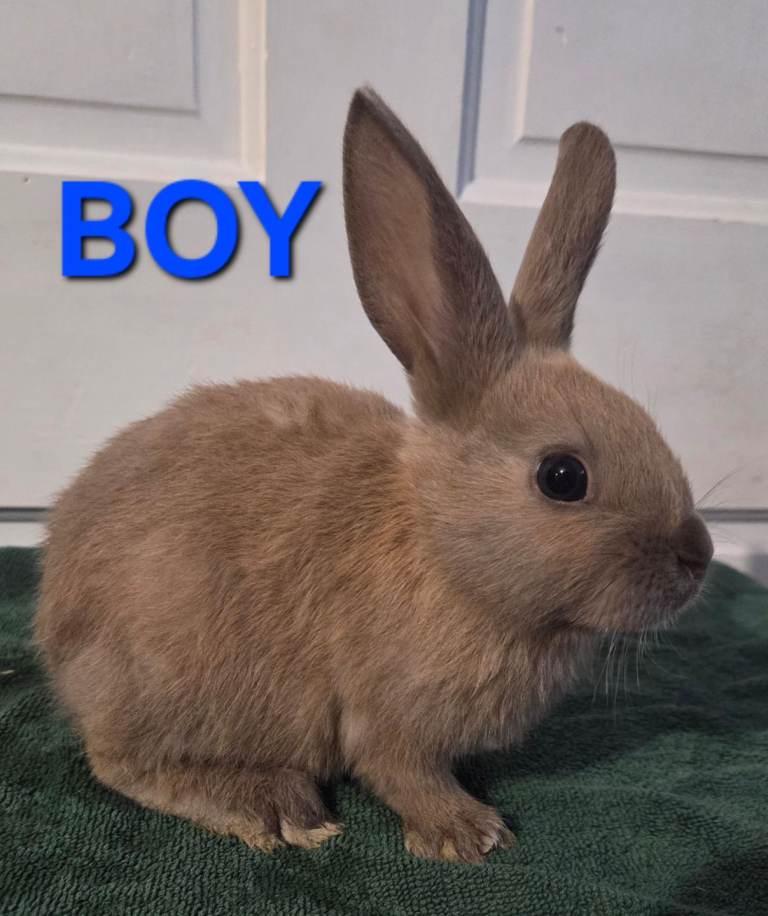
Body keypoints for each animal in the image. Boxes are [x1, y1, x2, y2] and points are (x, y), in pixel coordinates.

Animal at [34, 87, 713, 864]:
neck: (442, 550)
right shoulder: (386, 717)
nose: (698, 555)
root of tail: (55, 626)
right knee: (117, 761)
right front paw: (468, 833)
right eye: (563, 476)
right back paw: (271, 804)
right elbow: (399, 770)